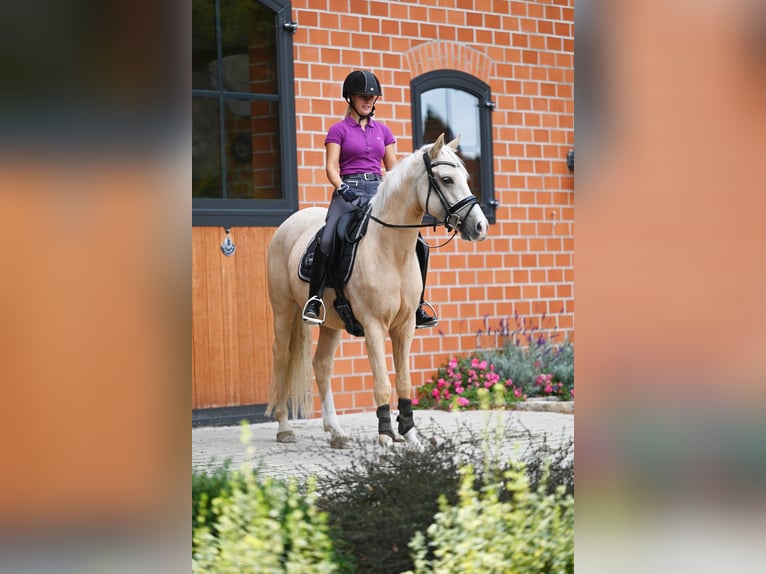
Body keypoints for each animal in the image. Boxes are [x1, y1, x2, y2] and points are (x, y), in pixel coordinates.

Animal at [268, 134, 488, 450]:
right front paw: (386, 436)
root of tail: (289, 224)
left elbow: (404, 381)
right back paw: (285, 427)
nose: (480, 226)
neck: (391, 250)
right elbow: (382, 383)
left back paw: (336, 432)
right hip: (283, 310)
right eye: (447, 179)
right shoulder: (373, 325)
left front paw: (409, 435)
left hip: (330, 323)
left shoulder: (405, 326)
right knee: (281, 359)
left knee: (322, 366)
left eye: (466, 178)